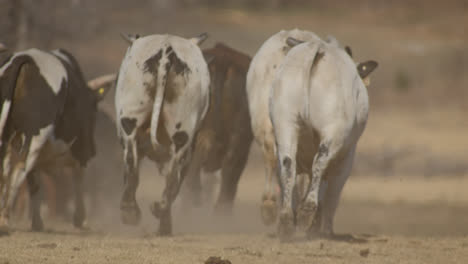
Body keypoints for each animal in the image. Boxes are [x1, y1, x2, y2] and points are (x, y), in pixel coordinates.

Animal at [0, 47, 115, 231]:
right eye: (94, 109)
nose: (93, 150)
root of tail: (24, 60)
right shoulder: (79, 150)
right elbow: (78, 177)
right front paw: (80, 218)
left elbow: (33, 181)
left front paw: (37, 222)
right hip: (35, 138)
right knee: (20, 169)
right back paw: (5, 217)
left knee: (10, 170)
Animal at [115, 32, 210, 235]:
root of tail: (167, 49)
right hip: (177, 131)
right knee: (170, 174)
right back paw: (157, 214)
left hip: (132, 121)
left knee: (136, 164)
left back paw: (135, 213)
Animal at [268, 37, 378, 241]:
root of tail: (317, 48)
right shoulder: (346, 159)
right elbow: (331, 193)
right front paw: (322, 228)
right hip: (332, 133)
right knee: (320, 163)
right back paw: (307, 212)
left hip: (285, 124)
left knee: (288, 165)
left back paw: (287, 221)